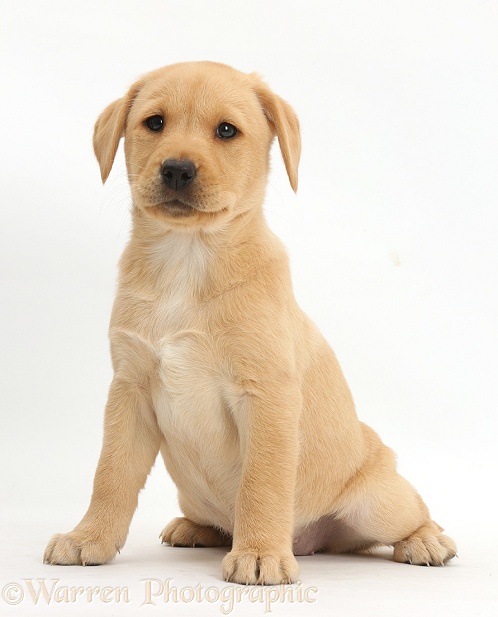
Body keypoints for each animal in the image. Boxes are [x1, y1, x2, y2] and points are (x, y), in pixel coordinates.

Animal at [44, 61, 458, 584]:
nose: (177, 169)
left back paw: (427, 540)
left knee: (414, 512)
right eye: (154, 123)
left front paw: (259, 552)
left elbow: (261, 483)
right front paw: (89, 537)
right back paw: (195, 528)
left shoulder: (266, 395)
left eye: (226, 131)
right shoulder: (130, 389)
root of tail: (316, 542)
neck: (187, 260)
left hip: (380, 502)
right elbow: (110, 473)